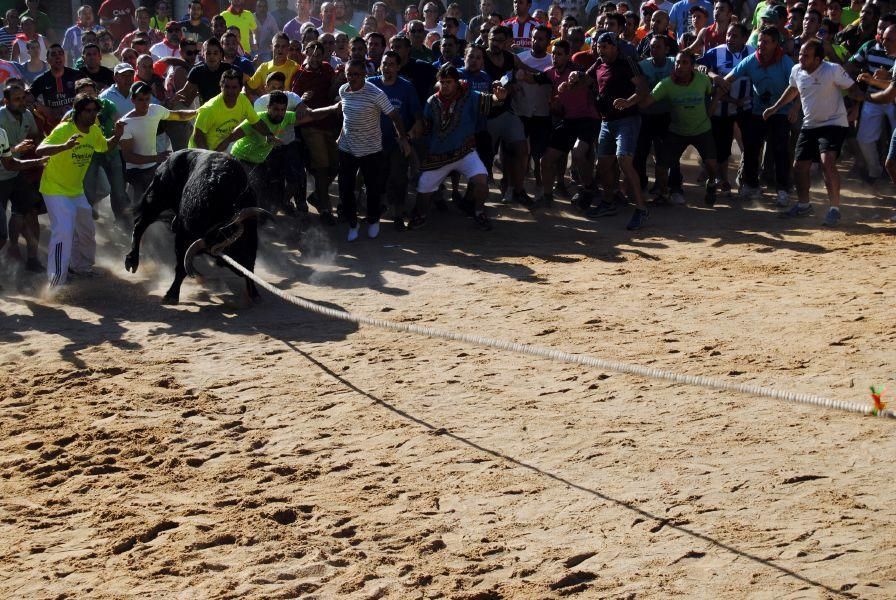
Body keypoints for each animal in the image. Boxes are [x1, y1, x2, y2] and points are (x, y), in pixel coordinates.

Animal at [123, 148, 270, 302]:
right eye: (231, 249)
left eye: (243, 245)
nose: (241, 267)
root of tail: (169, 158)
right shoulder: (183, 238)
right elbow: (181, 268)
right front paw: (172, 294)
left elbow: (251, 267)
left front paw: (254, 293)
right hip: (156, 199)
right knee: (140, 224)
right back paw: (132, 261)